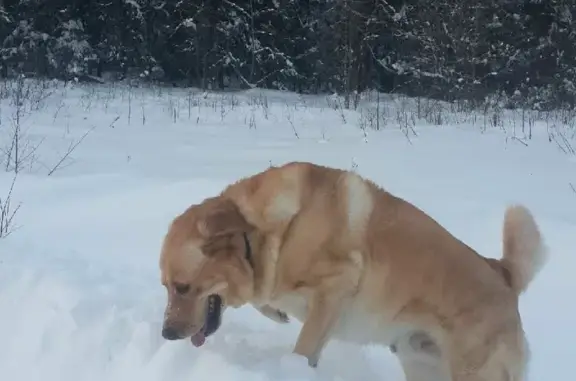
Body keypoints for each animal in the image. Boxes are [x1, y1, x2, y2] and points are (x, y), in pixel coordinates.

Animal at [160, 161, 548, 380]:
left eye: (182, 286)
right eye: (165, 286)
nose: (166, 334)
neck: (265, 235)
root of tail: (502, 273)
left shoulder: (336, 287)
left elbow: (304, 348)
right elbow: (265, 298)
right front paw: (275, 312)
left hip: (472, 373)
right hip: (423, 365)